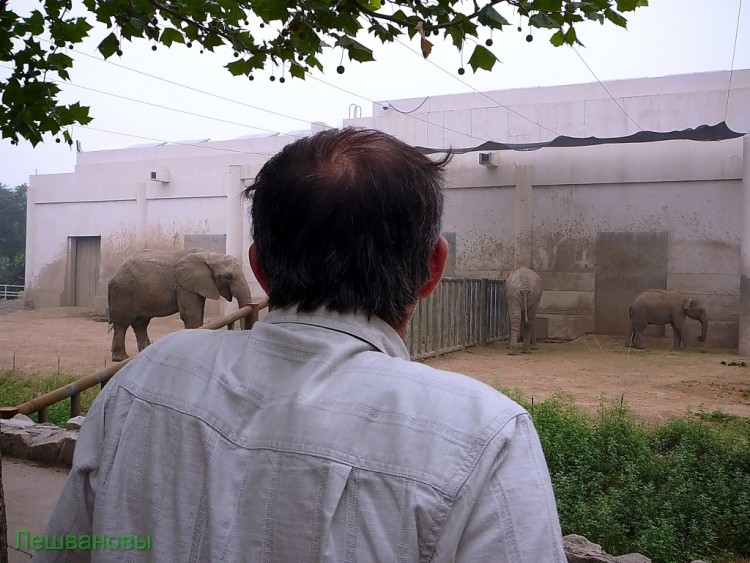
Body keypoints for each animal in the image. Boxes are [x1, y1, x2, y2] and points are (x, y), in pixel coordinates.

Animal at [108, 250, 254, 362]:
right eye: (228, 277)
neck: (208, 255)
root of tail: (114, 275)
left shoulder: (197, 285)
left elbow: (198, 313)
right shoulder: (183, 286)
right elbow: (191, 315)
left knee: (140, 324)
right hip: (123, 291)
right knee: (122, 324)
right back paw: (120, 359)